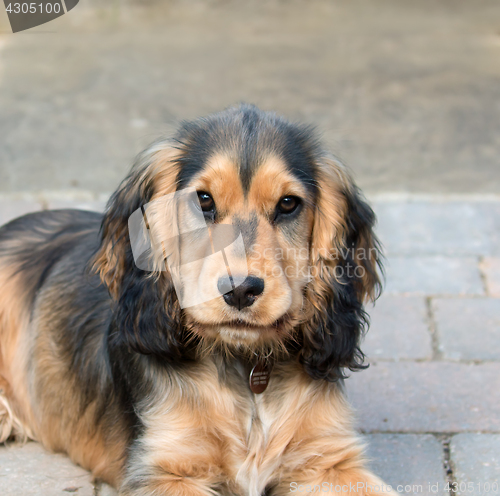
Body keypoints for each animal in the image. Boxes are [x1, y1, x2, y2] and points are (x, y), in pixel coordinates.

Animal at [0, 105, 386, 496]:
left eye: (288, 204)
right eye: (203, 200)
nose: (240, 290)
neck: (246, 368)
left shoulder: (330, 460)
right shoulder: (165, 467)